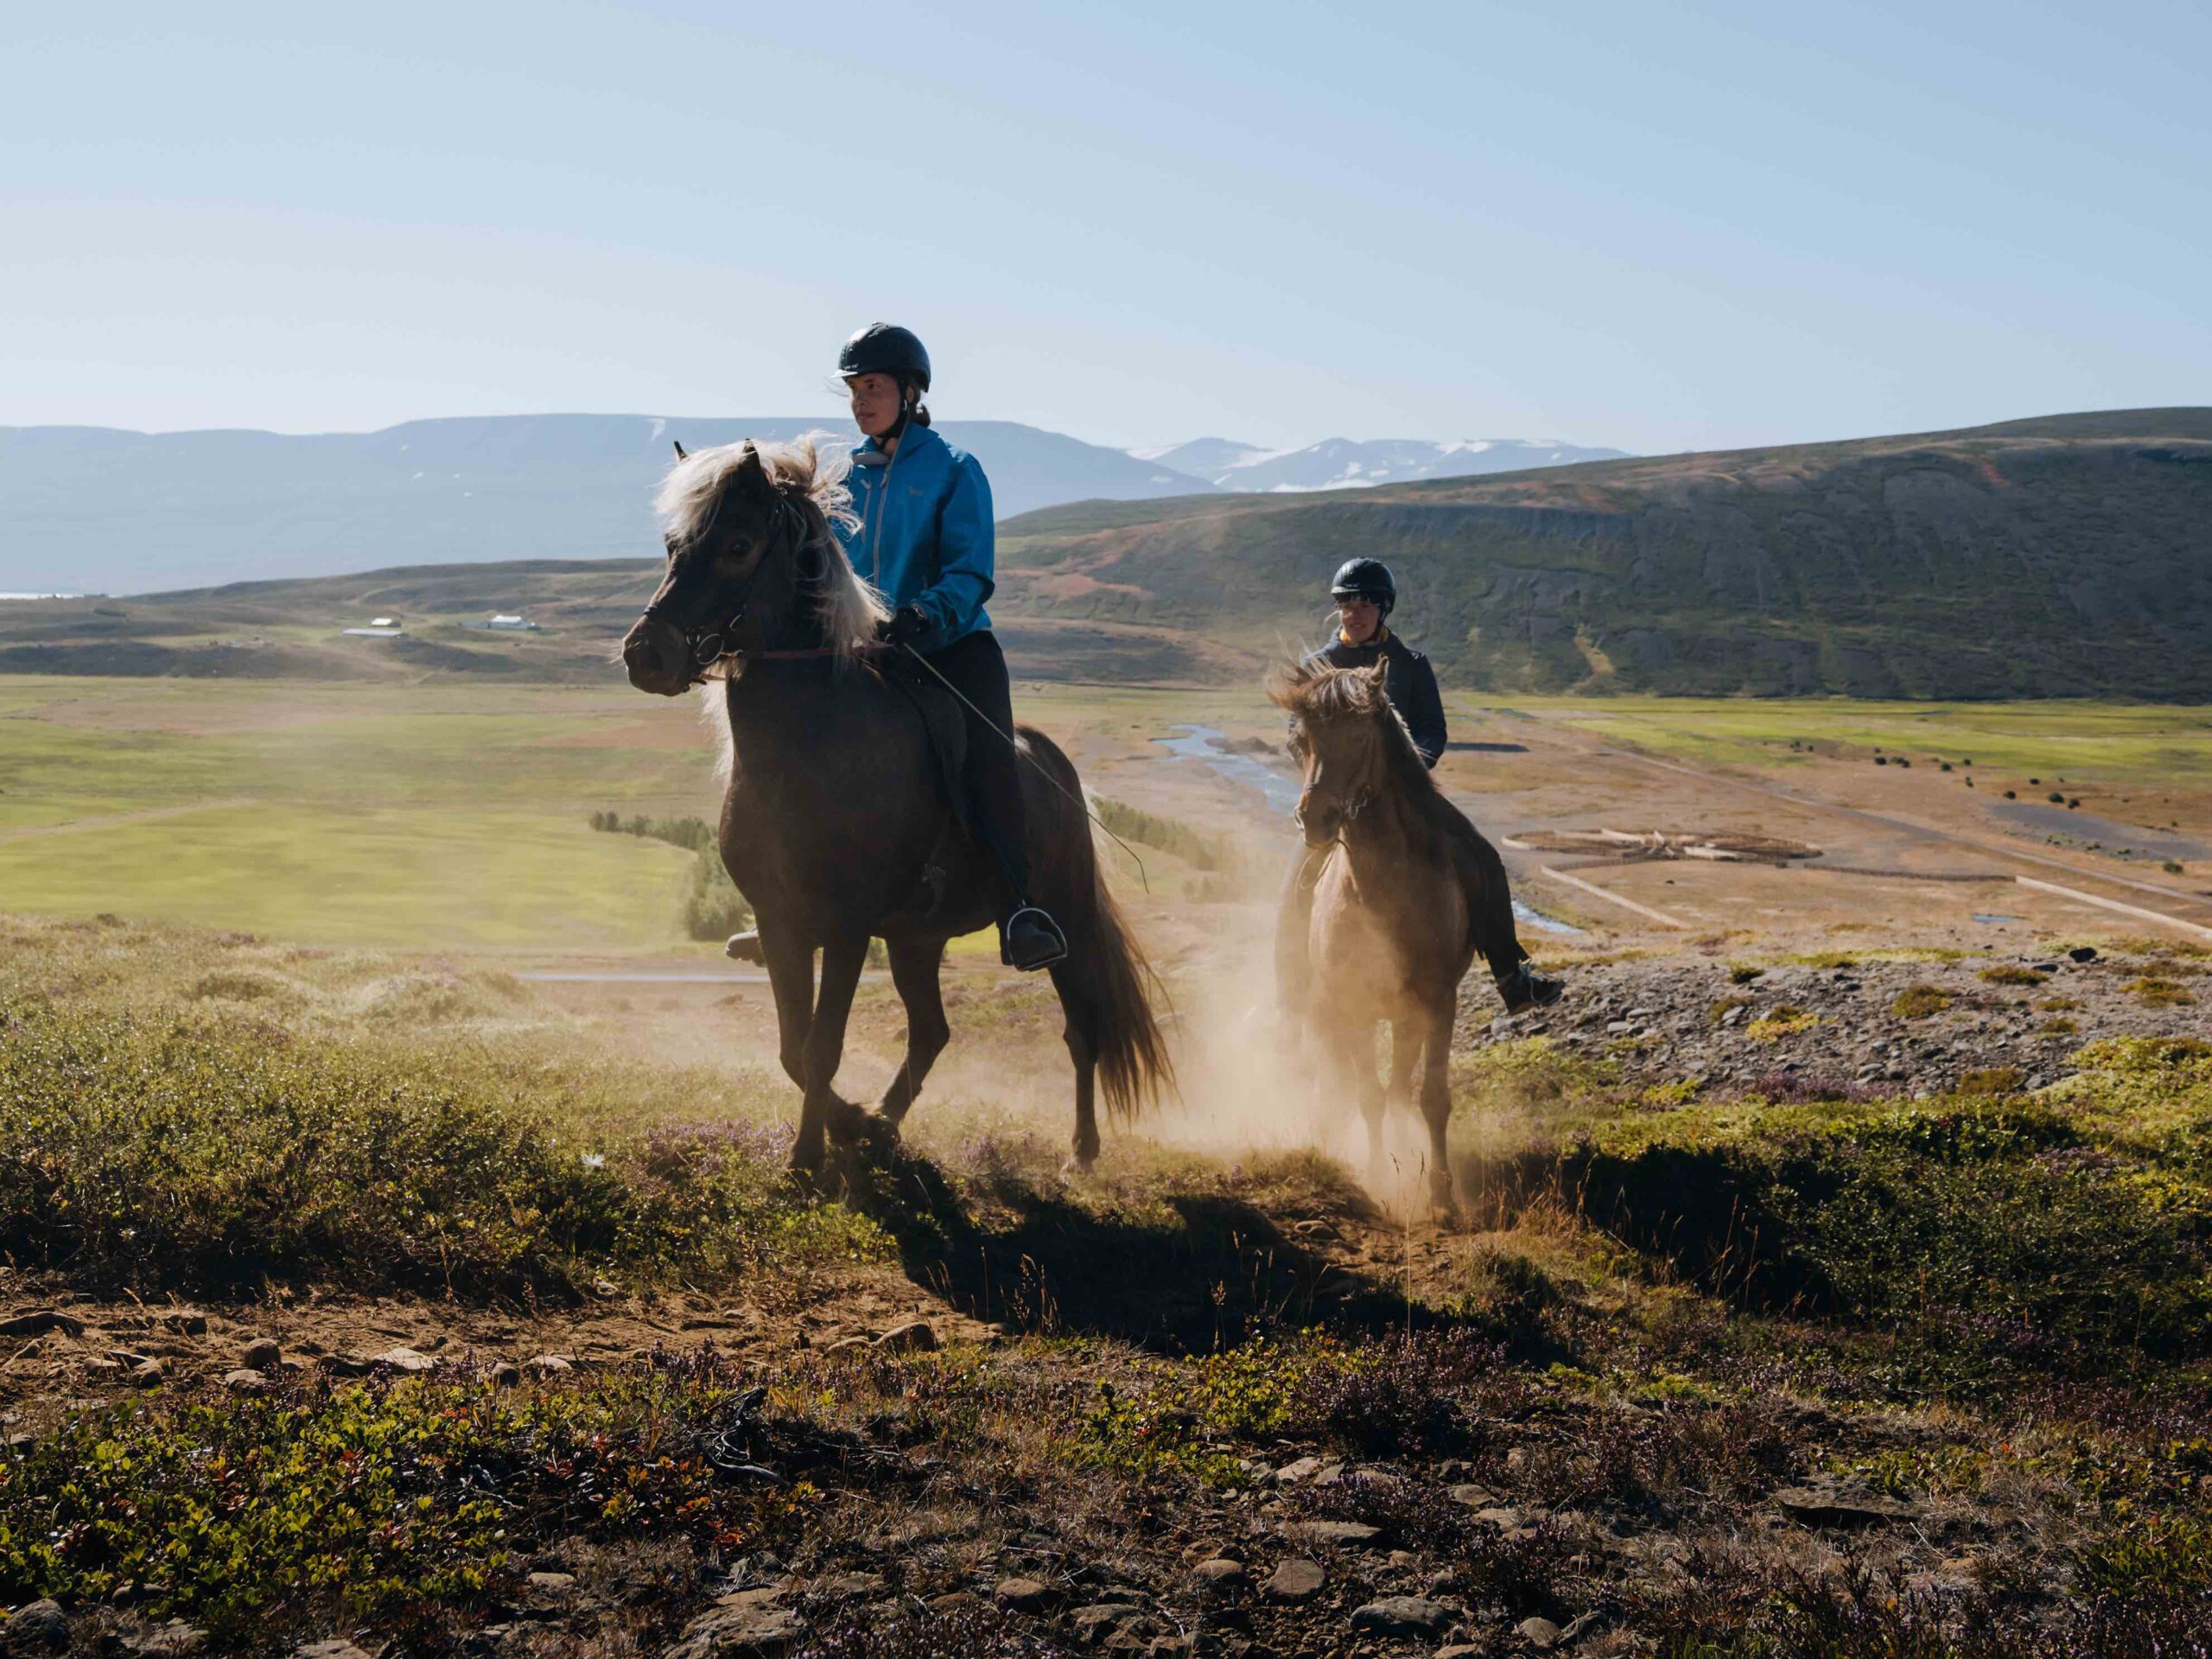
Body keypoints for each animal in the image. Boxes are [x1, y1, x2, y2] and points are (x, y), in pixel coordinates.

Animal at [623, 435, 1176, 1176]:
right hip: (918, 939)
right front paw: (850, 1127)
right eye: (672, 544)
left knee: (1081, 1030)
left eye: (738, 546)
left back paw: (1081, 1152)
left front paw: (810, 1159)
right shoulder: (780, 922)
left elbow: (821, 1047)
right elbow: (792, 1048)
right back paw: (886, 1124)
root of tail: (1056, 766)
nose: (645, 654)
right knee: (932, 1032)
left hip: (1067, 919)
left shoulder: (849, 928)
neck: (814, 747)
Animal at [1274, 664, 1478, 1221]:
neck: (1382, 890)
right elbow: (1367, 1094)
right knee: (1339, 1083)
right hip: (1330, 1010)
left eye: (1361, 737)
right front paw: (1373, 1178)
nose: (1315, 820)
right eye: (1299, 741)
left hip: (1406, 1018)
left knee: (1402, 1090)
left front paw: (1442, 1198)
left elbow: (1431, 1098)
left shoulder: (1438, 1003)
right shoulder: (1354, 1006)